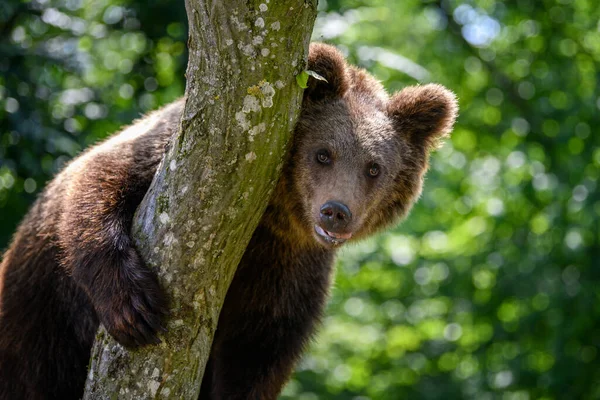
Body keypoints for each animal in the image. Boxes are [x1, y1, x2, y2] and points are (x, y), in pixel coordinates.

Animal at [0, 42, 454, 398]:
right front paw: (134, 309)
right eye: (323, 153)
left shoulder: (286, 265)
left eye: (374, 167)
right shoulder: (171, 156)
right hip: (37, 318)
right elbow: (100, 180)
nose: (336, 211)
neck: (268, 215)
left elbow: (259, 348)